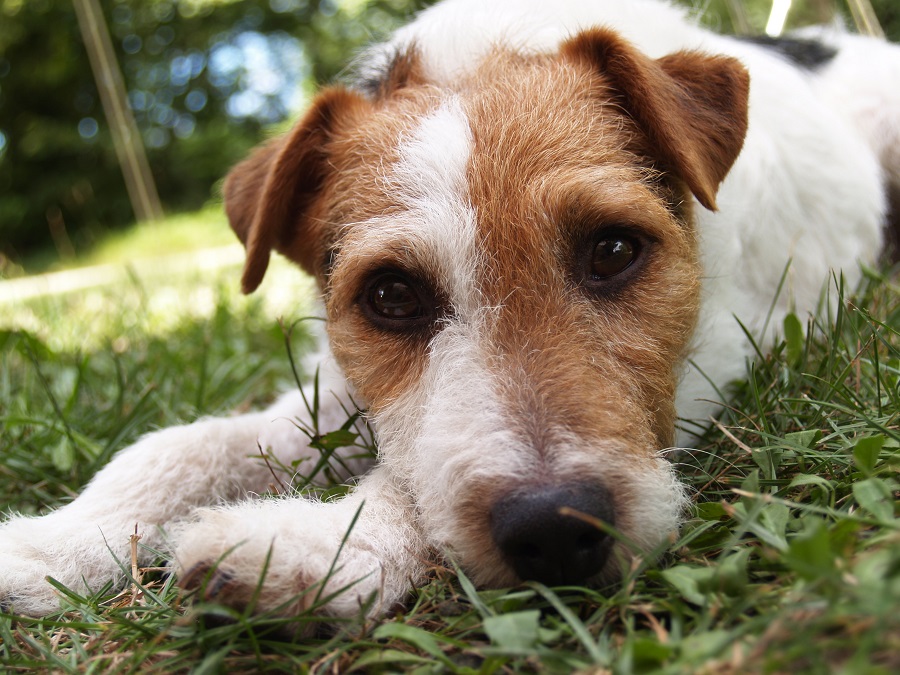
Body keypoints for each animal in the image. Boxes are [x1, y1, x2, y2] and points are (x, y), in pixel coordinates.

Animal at [1, 0, 900, 624]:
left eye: (613, 249)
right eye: (392, 295)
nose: (556, 530)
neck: (484, 56)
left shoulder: (712, 358)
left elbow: (405, 483)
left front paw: (310, 546)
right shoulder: (337, 391)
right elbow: (179, 446)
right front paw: (55, 543)